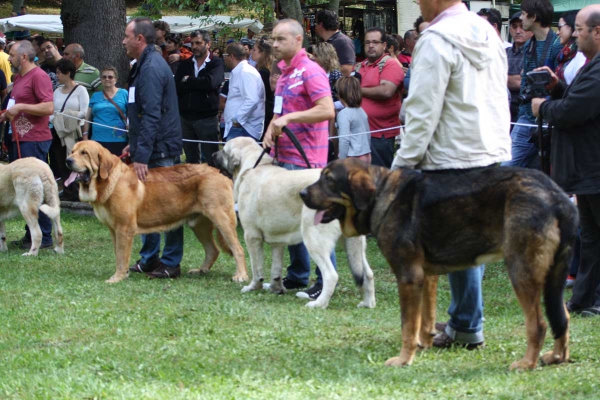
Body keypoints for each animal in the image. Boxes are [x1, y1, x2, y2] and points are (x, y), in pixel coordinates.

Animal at [63, 141, 246, 284]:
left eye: (84, 153)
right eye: (72, 151)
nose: (68, 160)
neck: (107, 182)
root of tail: (221, 174)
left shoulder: (124, 228)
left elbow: (121, 256)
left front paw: (117, 278)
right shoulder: (114, 230)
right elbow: (119, 255)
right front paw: (123, 274)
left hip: (223, 220)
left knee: (238, 249)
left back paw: (241, 276)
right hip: (198, 225)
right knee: (212, 250)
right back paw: (201, 270)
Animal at [213, 138, 376, 310]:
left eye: (224, 150)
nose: (213, 154)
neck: (253, 166)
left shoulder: (251, 237)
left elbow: (256, 267)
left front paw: (253, 287)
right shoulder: (277, 241)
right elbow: (276, 269)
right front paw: (277, 289)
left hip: (314, 240)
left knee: (331, 275)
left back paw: (318, 303)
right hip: (353, 244)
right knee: (368, 273)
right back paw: (368, 303)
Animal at [302, 158, 580, 370]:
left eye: (329, 180)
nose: (301, 193)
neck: (380, 195)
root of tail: (557, 196)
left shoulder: (408, 276)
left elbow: (407, 325)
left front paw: (404, 359)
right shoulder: (426, 276)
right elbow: (424, 320)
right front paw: (423, 345)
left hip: (521, 271)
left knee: (539, 325)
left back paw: (526, 363)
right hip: (553, 277)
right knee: (562, 316)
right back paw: (557, 357)